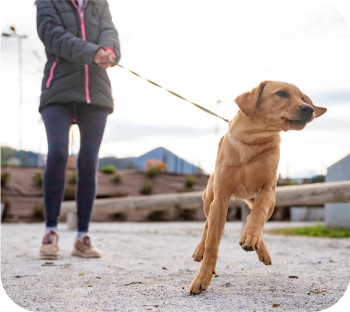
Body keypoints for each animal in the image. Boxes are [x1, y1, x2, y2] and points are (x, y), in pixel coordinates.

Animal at [190, 80, 326, 294]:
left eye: (303, 98)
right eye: (281, 93)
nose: (309, 109)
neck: (252, 140)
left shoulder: (267, 191)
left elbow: (257, 215)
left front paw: (251, 236)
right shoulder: (221, 197)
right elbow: (212, 242)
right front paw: (202, 277)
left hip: (267, 202)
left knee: (253, 216)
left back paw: (256, 244)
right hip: (209, 199)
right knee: (207, 224)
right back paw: (200, 250)